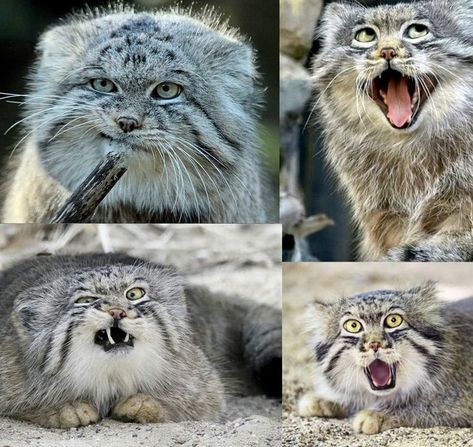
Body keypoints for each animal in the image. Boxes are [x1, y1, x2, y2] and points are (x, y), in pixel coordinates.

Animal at [296, 286, 472, 436]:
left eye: (394, 320)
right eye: (353, 326)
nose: (374, 344)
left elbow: (429, 404)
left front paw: (376, 414)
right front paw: (326, 398)